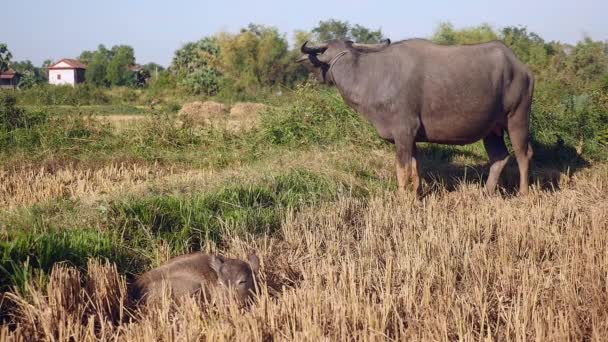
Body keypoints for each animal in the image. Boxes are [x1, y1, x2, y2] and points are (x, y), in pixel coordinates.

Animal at [296, 38, 536, 194]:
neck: (371, 78)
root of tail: (521, 68)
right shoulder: (410, 138)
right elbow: (415, 167)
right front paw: (416, 195)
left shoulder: (403, 131)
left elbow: (402, 169)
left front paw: (402, 198)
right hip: (491, 129)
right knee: (499, 157)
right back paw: (486, 192)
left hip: (517, 118)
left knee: (524, 154)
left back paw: (523, 193)